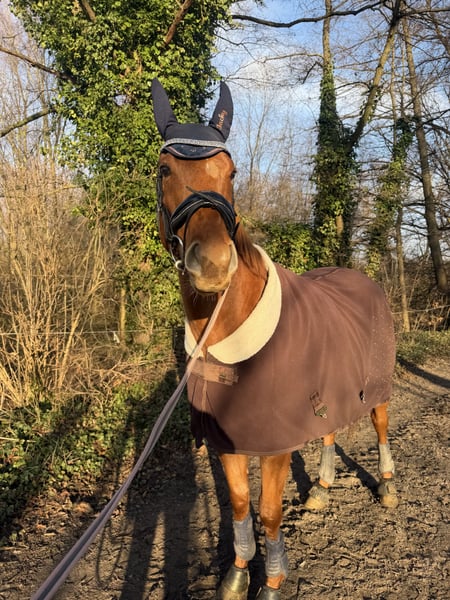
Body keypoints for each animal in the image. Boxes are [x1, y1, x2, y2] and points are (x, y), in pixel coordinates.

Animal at [151, 79, 398, 600]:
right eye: (164, 170)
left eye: (231, 171)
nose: (214, 262)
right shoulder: (225, 438)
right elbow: (241, 505)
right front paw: (237, 575)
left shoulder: (274, 443)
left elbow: (268, 511)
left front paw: (272, 581)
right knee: (330, 428)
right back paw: (321, 489)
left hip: (377, 387)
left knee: (381, 424)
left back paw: (387, 485)